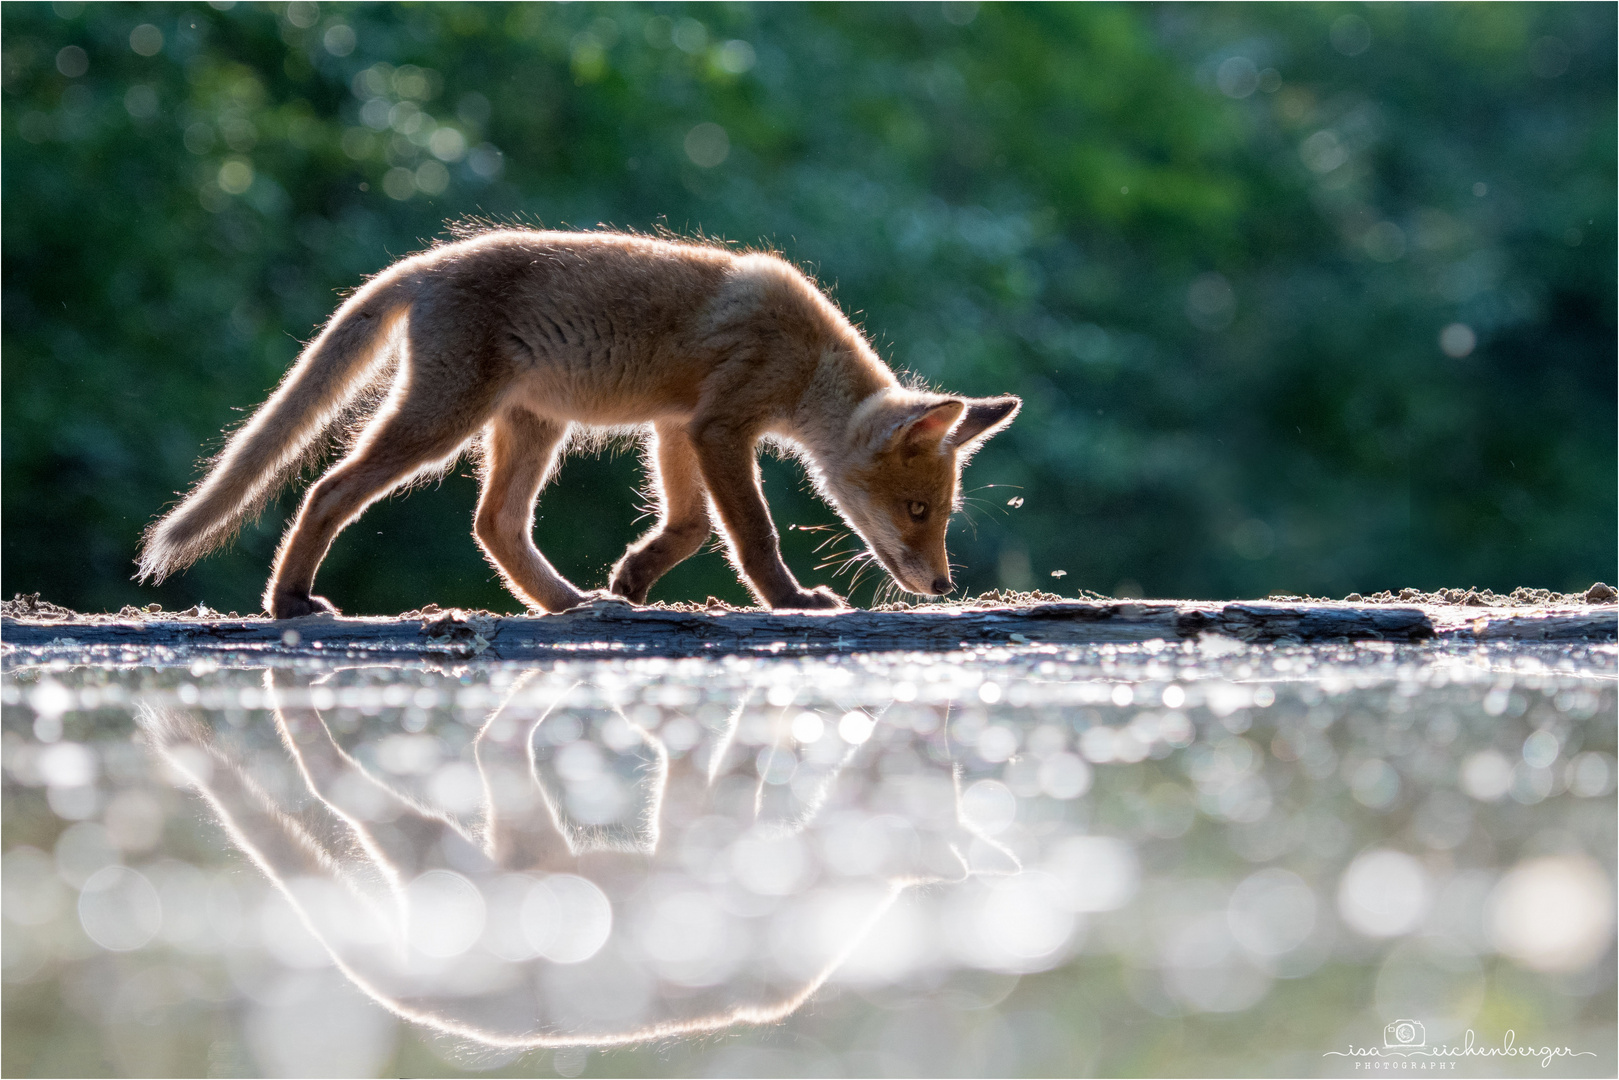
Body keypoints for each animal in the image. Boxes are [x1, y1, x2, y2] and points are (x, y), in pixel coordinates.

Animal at [142, 228, 1023, 615]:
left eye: (944, 513)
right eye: (918, 509)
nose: (944, 585)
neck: (808, 363)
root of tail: (422, 264)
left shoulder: (677, 427)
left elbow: (689, 527)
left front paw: (633, 577)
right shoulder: (719, 427)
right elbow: (750, 533)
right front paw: (791, 601)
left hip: (531, 429)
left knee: (494, 524)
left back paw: (569, 603)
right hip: (441, 423)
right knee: (329, 490)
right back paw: (289, 601)